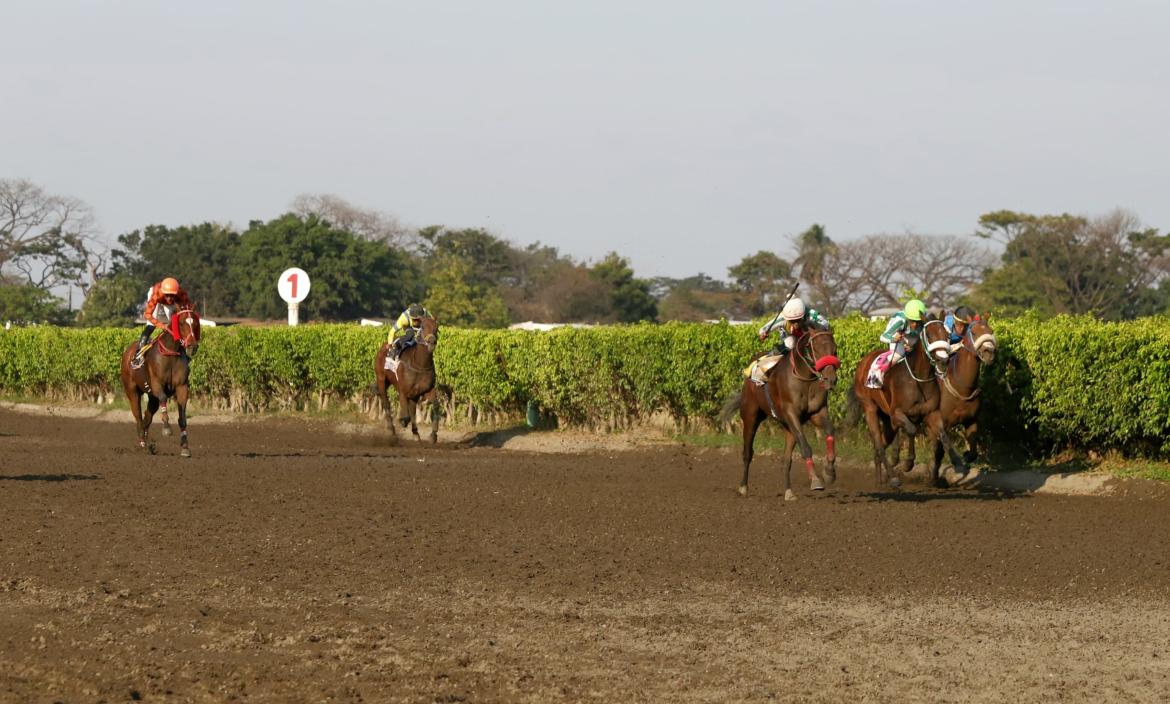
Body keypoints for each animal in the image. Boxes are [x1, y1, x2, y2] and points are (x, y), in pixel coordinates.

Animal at [118, 306, 201, 456]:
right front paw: (167, 428)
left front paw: (185, 447)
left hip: (151, 398)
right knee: (138, 417)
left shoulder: (182, 386)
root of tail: (127, 353)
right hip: (132, 391)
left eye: (195, 323)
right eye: (181, 323)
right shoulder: (157, 384)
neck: (171, 353)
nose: (192, 346)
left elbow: (182, 418)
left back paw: (147, 444)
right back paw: (143, 444)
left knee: (147, 418)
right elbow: (163, 397)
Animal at [374, 313, 439, 442]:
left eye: (436, 327)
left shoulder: (427, 389)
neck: (419, 364)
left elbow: (435, 406)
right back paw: (391, 429)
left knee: (413, 410)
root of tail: (384, 346)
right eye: (423, 327)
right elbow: (406, 416)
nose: (431, 341)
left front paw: (433, 434)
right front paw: (402, 421)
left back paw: (416, 434)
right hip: (381, 380)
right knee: (386, 403)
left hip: (414, 394)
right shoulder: (403, 391)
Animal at [720, 329, 842, 498]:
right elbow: (806, 448)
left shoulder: (816, 413)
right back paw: (743, 487)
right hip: (751, 416)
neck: (805, 380)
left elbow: (830, 430)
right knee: (747, 452)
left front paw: (829, 472)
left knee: (786, 459)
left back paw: (789, 491)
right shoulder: (791, 414)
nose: (830, 379)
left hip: (787, 426)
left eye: (834, 349)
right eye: (816, 349)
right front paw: (816, 480)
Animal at [851, 313, 968, 488]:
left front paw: (957, 461)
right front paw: (907, 464)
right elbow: (912, 430)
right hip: (870, 408)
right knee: (878, 443)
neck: (919, 379)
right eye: (929, 335)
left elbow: (942, 433)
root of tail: (863, 363)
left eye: (947, 336)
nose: (943, 361)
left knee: (881, 445)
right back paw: (893, 477)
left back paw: (879, 479)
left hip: (887, 421)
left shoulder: (931, 412)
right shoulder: (897, 414)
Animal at [931, 315, 996, 479]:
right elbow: (941, 450)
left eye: (991, 331)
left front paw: (966, 455)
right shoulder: (943, 424)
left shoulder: (971, 420)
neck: (962, 389)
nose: (989, 352)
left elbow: (973, 452)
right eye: (973, 332)